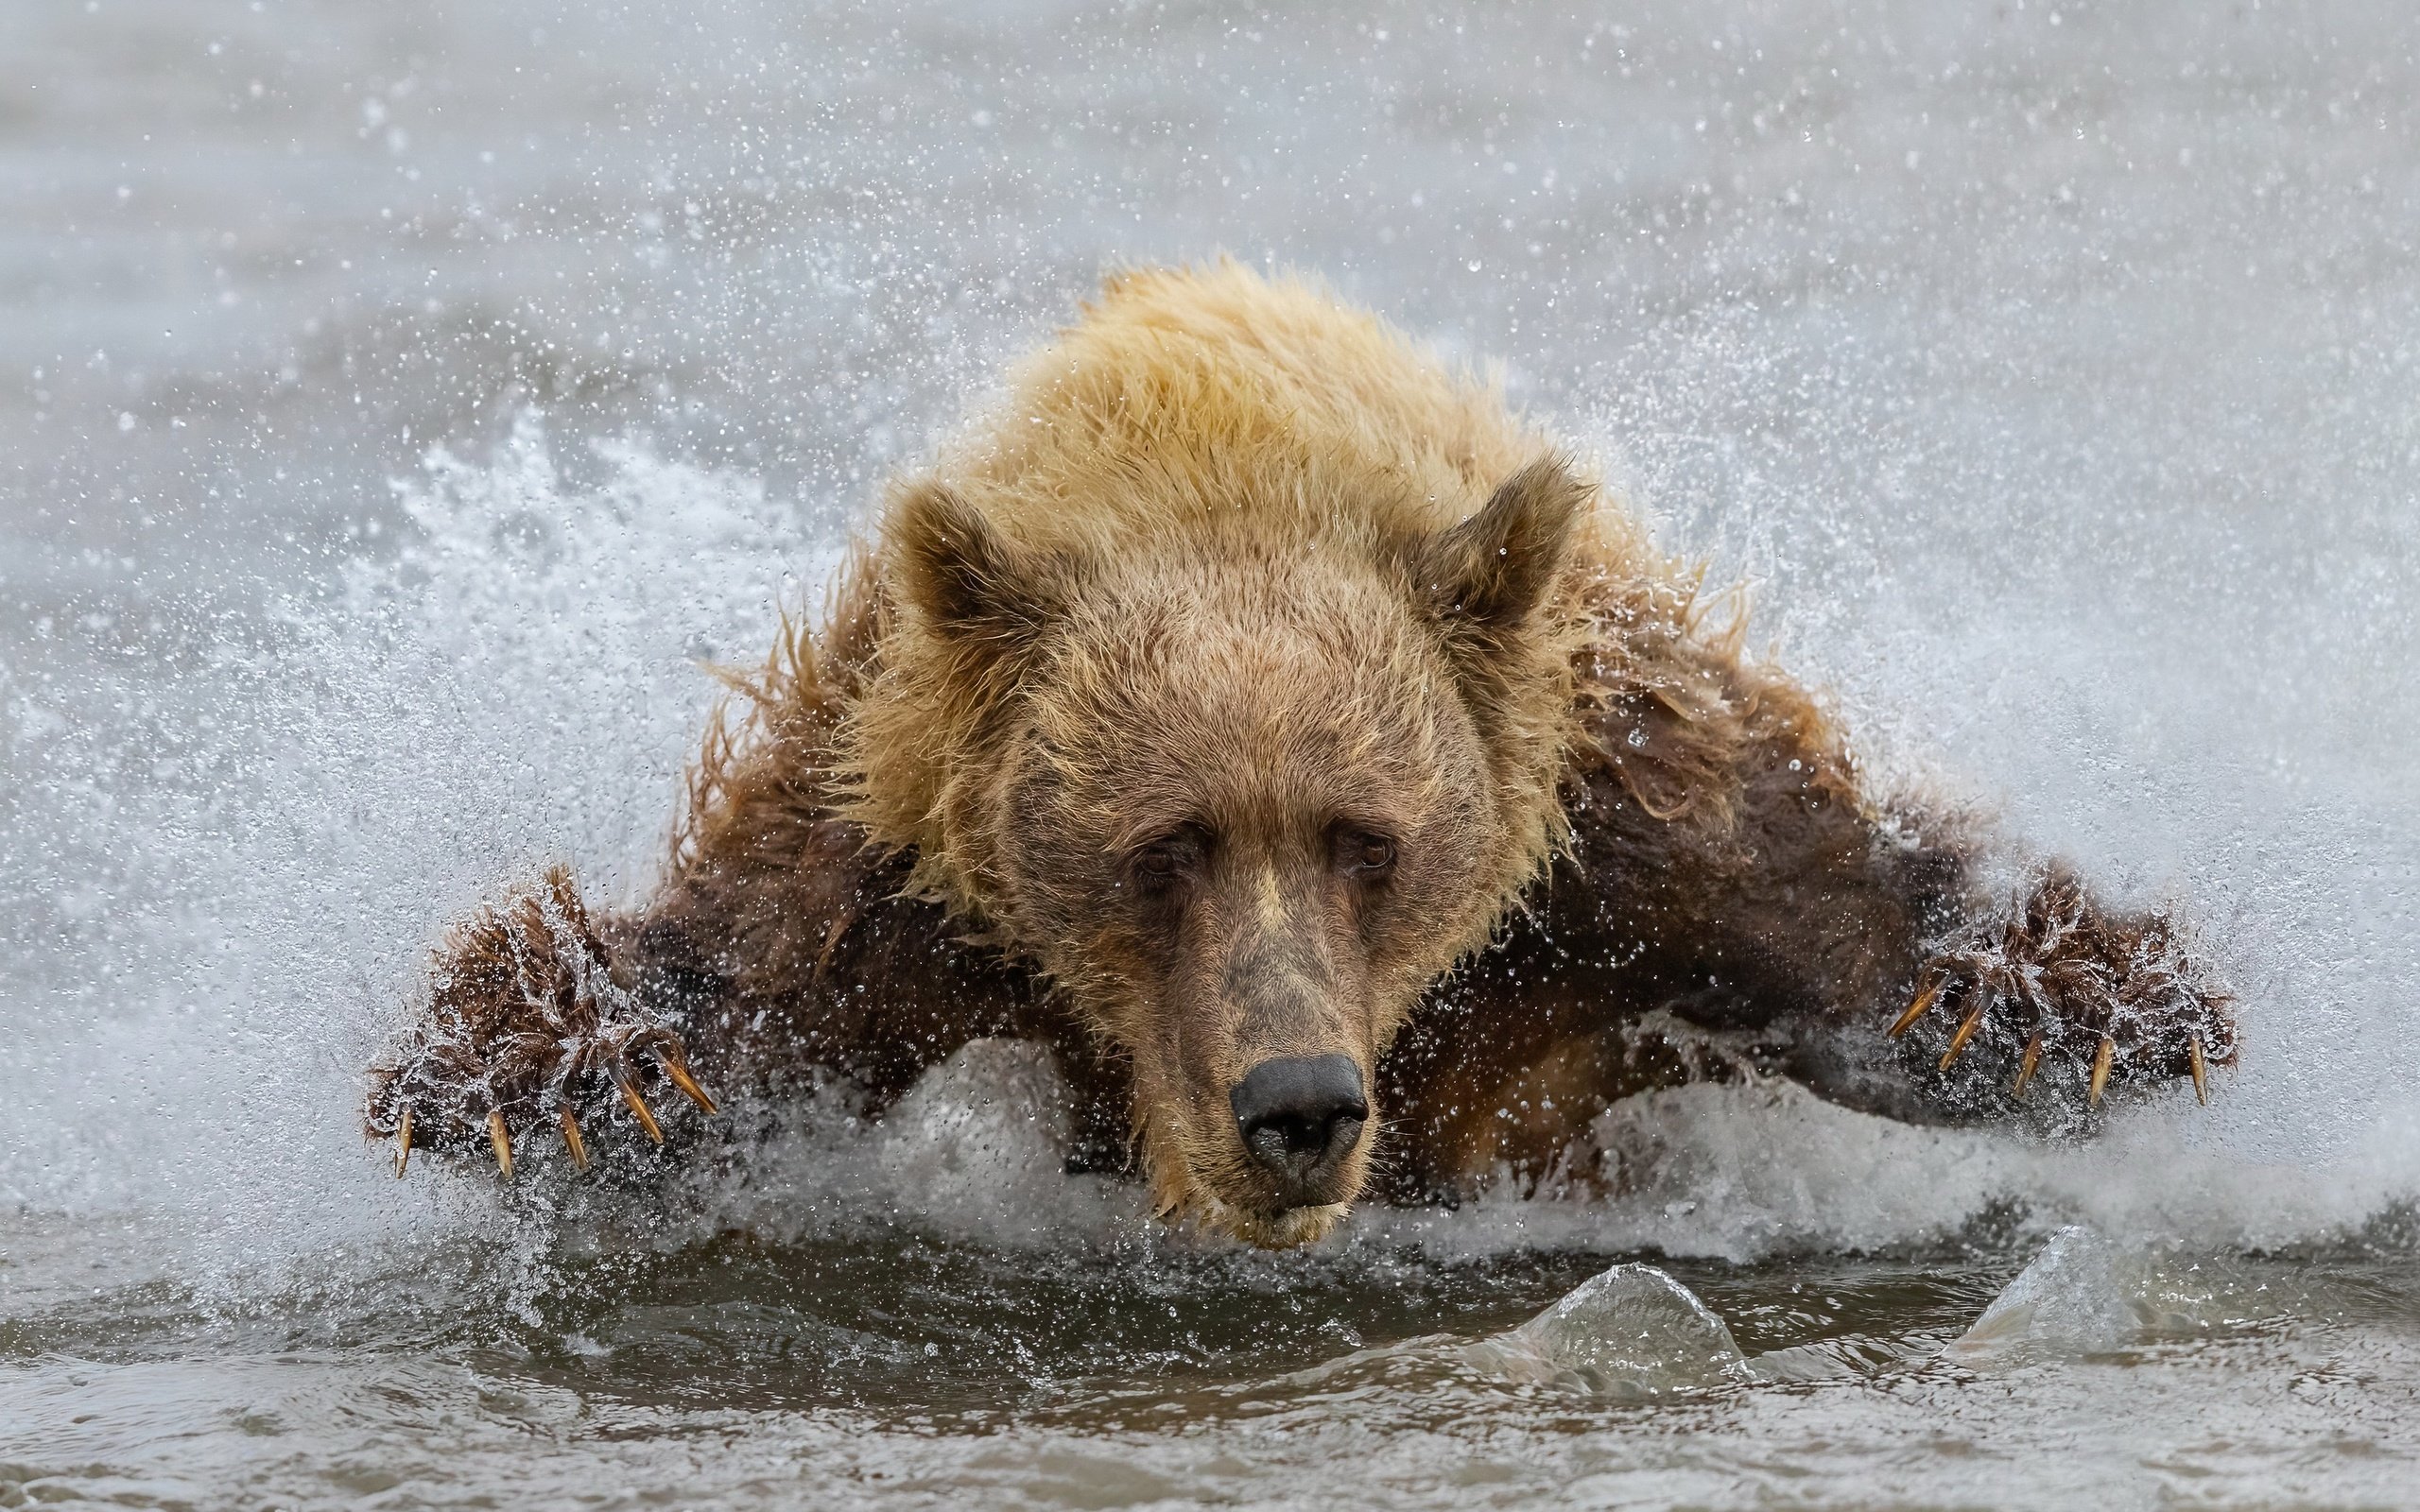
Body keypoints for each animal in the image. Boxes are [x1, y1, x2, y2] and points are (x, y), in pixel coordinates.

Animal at [368, 262, 2236, 1247]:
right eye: (1164, 845)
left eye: (1369, 838)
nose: (1301, 1106)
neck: (1223, 470)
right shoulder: (887, 866)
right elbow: (715, 994)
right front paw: (577, 1070)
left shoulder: (1622, 819)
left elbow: (1850, 922)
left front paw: (2045, 1002)